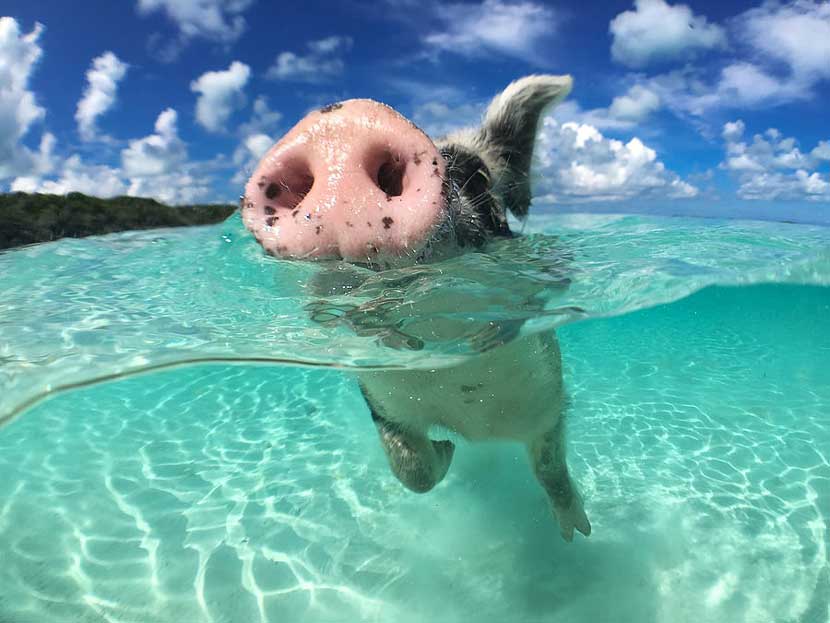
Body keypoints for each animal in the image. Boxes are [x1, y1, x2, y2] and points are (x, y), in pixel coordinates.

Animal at [241, 75, 591, 541]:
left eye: (480, 178)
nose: (341, 124)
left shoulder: (548, 397)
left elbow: (550, 465)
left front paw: (577, 533)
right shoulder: (381, 401)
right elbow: (413, 471)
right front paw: (447, 449)